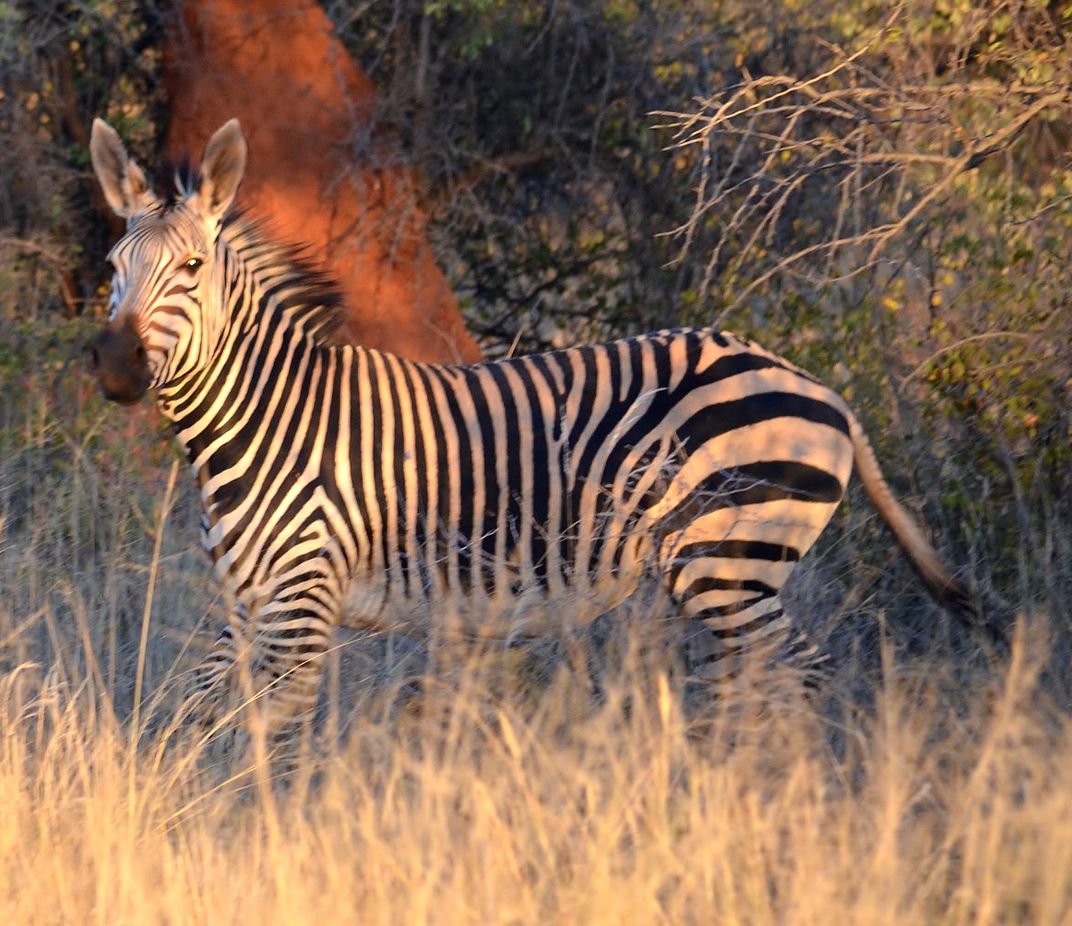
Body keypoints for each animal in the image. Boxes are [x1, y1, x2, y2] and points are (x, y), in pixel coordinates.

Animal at [87, 115, 981, 737]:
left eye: (192, 269)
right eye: (113, 268)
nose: (117, 367)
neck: (267, 418)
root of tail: (815, 384)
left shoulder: (303, 598)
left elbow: (279, 735)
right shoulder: (247, 603)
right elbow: (194, 710)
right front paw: (182, 803)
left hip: (727, 561)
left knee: (799, 678)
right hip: (731, 574)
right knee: (753, 686)